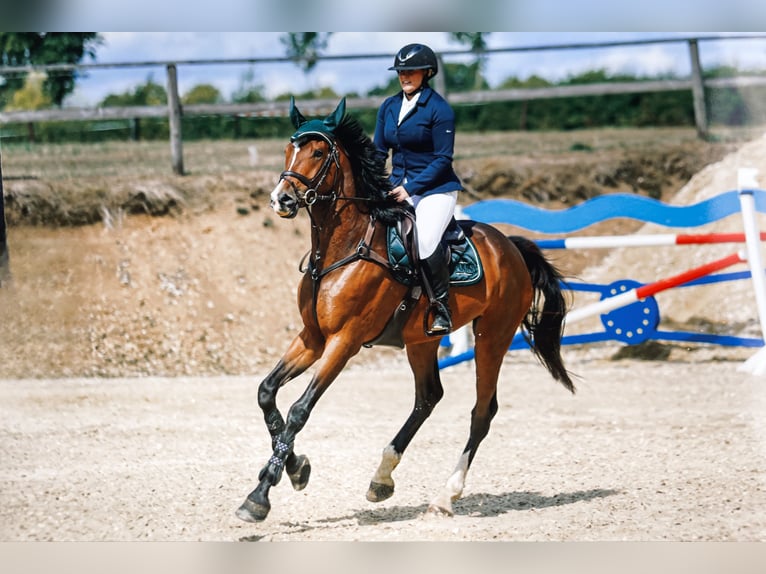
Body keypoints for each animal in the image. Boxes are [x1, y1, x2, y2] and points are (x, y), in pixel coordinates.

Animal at [236, 100, 576, 528]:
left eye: (317, 152)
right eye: (288, 149)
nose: (281, 200)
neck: (337, 250)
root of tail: (511, 246)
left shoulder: (343, 341)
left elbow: (299, 410)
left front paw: (260, 496)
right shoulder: (312, 338)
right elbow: (267, 394)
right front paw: (295, 469)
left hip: (492, 337)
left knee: (482, 411)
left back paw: (446, 496)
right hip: (422, 340)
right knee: (428, 398)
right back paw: (381, 479)